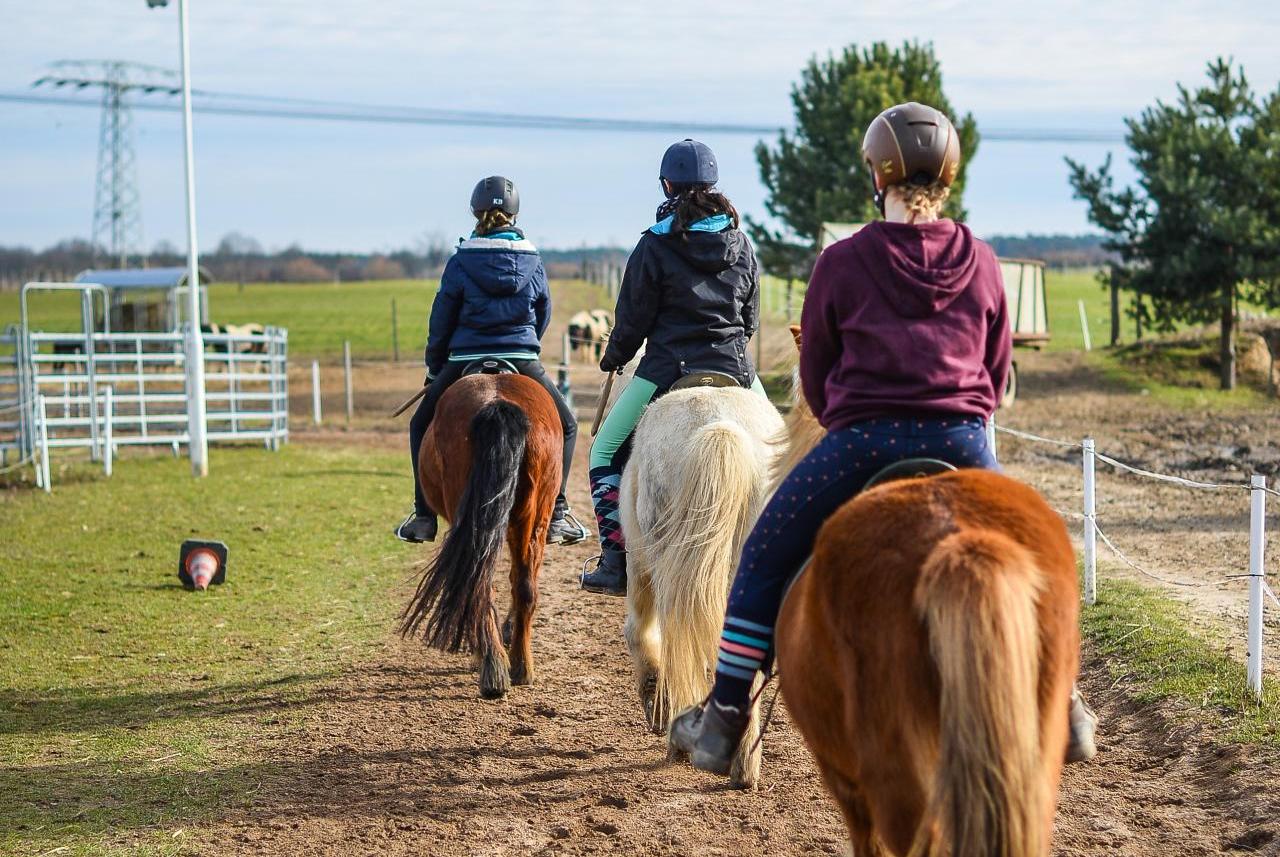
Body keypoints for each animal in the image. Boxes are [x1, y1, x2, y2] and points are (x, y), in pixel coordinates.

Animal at [399, 373, 560, 700]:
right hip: (534, 515)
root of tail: (497, 403)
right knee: (524, 585)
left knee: (480, 586)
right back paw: (520, 667)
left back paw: (492, 667)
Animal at [616, 388, 778, 793]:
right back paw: (743, 765)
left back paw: (680, 741)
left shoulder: (638, 567)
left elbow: (640, 633)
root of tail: (719, 426)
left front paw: (656, 705)